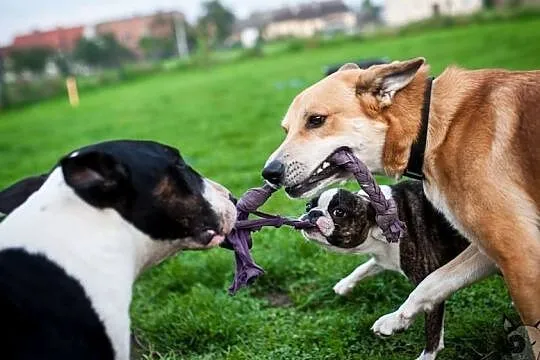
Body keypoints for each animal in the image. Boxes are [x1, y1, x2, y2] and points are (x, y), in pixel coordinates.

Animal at [302, 181, 496, 358]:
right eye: (308, 205)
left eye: (338, 212)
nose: (313, 213)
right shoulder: (384, 259)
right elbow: (365, 267)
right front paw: (345, 283)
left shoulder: (429, 276)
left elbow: (432, 325)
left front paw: (426, 354)